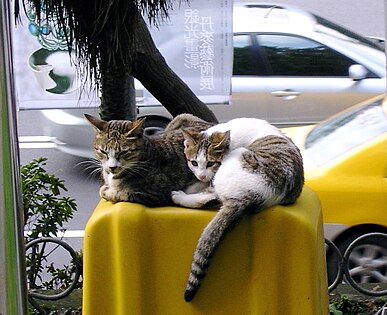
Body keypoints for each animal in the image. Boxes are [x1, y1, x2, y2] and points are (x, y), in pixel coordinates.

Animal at [85, 114, 214, 207]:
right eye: (103, 151)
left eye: (123, 152)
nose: (112, 167)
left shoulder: (157, 192)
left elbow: (124, 193)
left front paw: (109, 191)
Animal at [171, 117, 304, 302]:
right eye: (194, 163)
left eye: (210, 163)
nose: (201, 176)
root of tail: (251, 195)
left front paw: (193, 186)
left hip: (238, 158)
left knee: (210, 195)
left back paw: (179, 196)